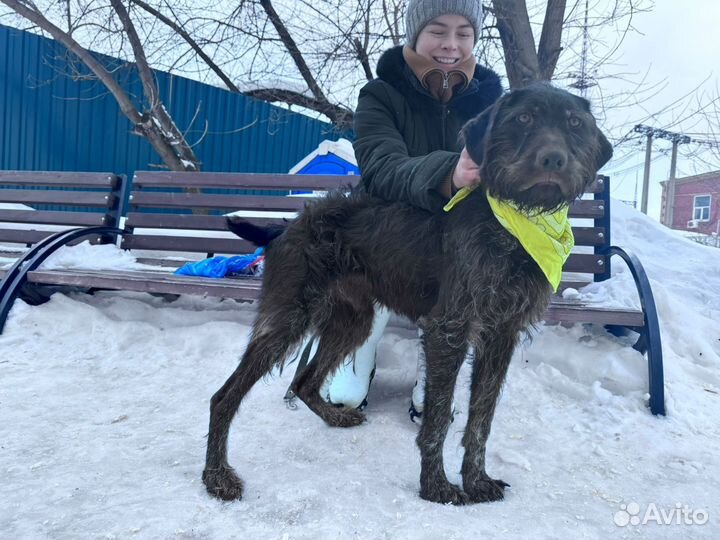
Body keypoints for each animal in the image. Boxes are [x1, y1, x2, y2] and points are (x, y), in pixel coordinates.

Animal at [202, 84, 612, 506]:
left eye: (575, 123)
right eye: (524, 118)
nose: (553, 159)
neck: (514, 227)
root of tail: (285, 226)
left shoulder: (501, 334)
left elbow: (482, 417)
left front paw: (476, 479)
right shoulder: (449, 329)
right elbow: (439, 416)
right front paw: (436, 486)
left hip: (353, 321)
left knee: (303, 382)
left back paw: (334, 416)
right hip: (288, 317)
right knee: (224, 396)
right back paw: (217, 477)